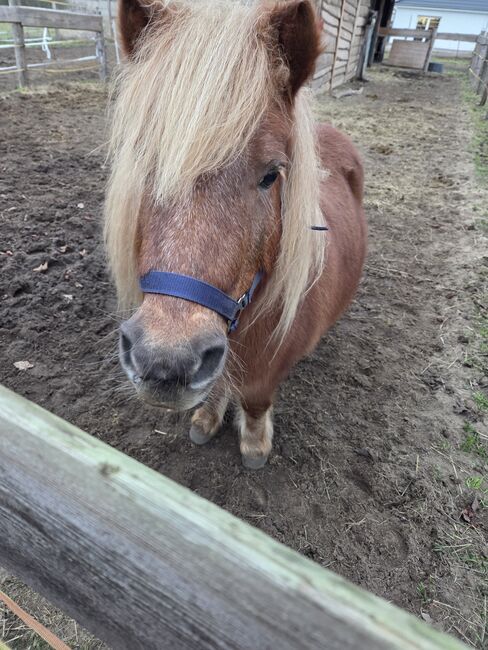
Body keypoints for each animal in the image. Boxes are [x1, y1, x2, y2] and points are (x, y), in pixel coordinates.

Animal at [105, 0, 367, 469]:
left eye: (271, 175)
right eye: (146, 161)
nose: (166, 363)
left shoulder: (268, 372)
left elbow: (257, 400)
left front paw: (255, 444)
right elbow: (218, 388)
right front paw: (207, 420)